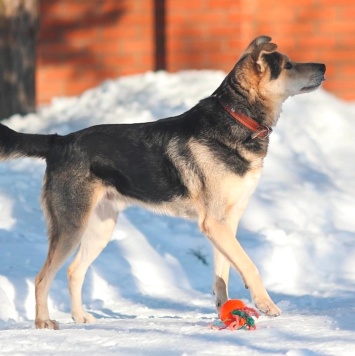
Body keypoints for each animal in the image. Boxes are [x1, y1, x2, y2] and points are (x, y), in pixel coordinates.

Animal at [0, 36, 326, 328]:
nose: (323, 66)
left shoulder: (226, 224)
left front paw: (224, 309)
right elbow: (249, 265)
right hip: (71, 225)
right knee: (42, 277)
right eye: (288, 65)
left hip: (100, 228)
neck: (237, 118)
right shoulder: (215, 223)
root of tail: (58, 141)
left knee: (73, 271)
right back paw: (43, 322)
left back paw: (80, 317)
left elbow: (223, 272)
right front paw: (265, 304)